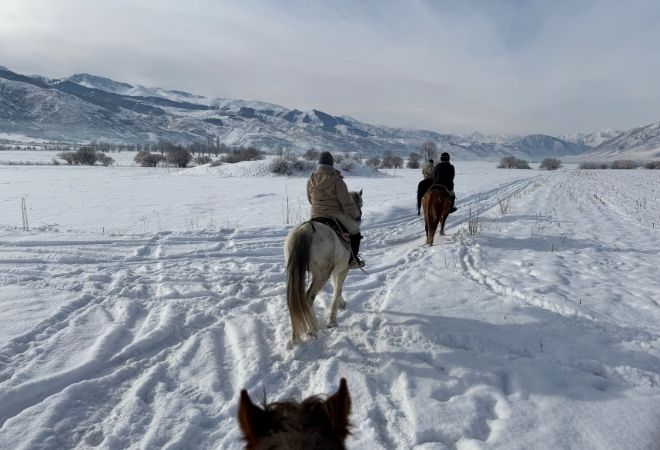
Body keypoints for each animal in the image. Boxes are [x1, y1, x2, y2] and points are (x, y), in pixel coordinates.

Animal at [284, 191, 363, 346]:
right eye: (360, 203)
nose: (359, 217)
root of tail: (305, 230)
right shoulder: (343, 269)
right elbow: (338, 289)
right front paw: (332, 320)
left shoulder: (336, 270)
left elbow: (337, 288)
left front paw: (341, 305)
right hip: (321, 275)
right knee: (308, 298)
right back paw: (313, 328)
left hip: (297, 273)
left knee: (296, 301)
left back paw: (296, 337)